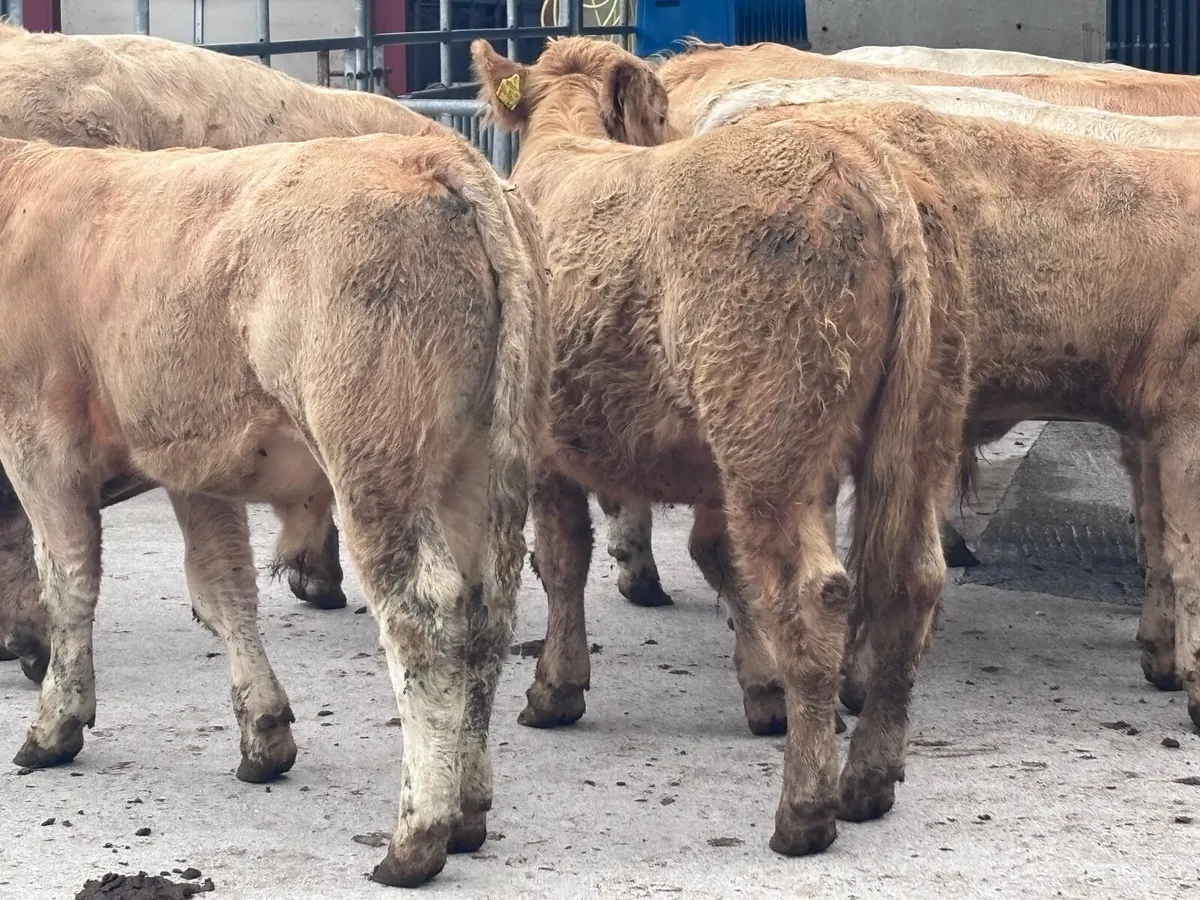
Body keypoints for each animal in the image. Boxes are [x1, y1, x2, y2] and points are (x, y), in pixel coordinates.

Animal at [0, 130, 549, 888]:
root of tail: (433, 152)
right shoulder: (191, 460)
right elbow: (222, 590)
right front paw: (263, 736)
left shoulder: (38, 442)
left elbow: (69, 584)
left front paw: (55, 723)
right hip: (482, 466)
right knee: (487, 615)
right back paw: (468, 812)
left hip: (378, 466)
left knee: (425, 618)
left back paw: (416, 839)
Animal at [473, 36, 968, 852]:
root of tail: (861, 161)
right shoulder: (709, 470)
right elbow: (719, 559)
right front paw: (762, 687)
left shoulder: (543, 444)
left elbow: (563, 560)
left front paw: (555, 688)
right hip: (922, 430)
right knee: (914, 582)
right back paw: (867, 780)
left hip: (769, 439)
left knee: (819, 593)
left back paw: (805, 811)